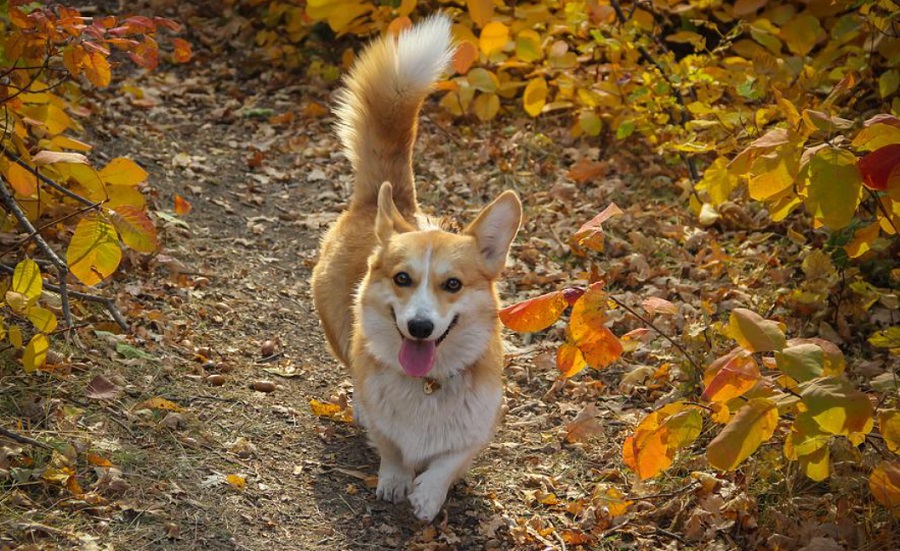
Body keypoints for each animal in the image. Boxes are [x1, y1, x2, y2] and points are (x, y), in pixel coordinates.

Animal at [310, 14, 520, 520]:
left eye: (453, 284)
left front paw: (428, 494)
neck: (426, 384)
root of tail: (386, 202)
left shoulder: (478, 429)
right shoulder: (386, 425)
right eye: (402, 278)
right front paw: (396, 480)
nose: (421, 327)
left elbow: (449, 460)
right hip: (336, 327)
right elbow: (391, 447)